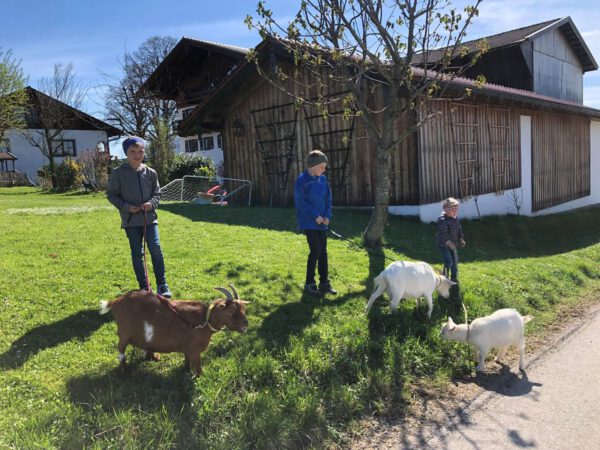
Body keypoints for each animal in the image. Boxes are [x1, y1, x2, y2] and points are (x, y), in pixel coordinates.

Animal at [100, 284, 248, 376]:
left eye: (243, 308)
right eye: (231, 311)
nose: (246, 325)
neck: (204, 320)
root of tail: (116, 301)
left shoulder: (188, 348)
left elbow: (187, 360)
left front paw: (186, 371)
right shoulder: (195, 351)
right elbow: (198, 366)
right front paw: (200, 377)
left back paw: (152, 356)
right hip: (124, 332)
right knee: (121, 349)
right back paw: (124, 369)